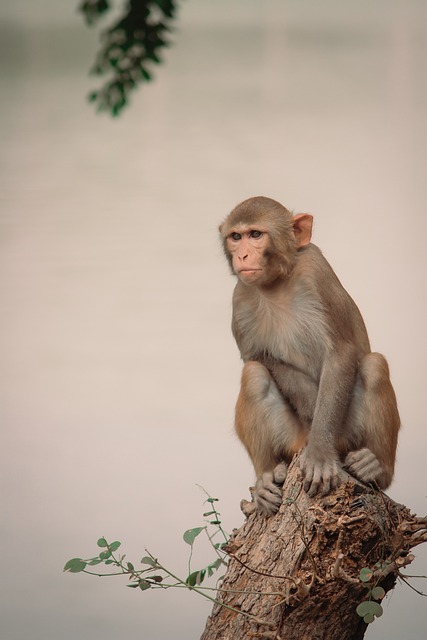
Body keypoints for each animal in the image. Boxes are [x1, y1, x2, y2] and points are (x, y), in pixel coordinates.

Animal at [221, 195, 402, 516]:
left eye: (255, 234)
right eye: (236, 237)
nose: (242, 255)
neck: (276, 283)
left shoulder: (316, 270)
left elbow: (341, 352)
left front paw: (319, 453)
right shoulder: (240, 299)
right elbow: (259, 358)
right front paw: (309, 404)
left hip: (347, 436)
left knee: (375, 366)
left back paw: (377, 468)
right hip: (292, 439)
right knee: (253, 375)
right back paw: (266, 479)